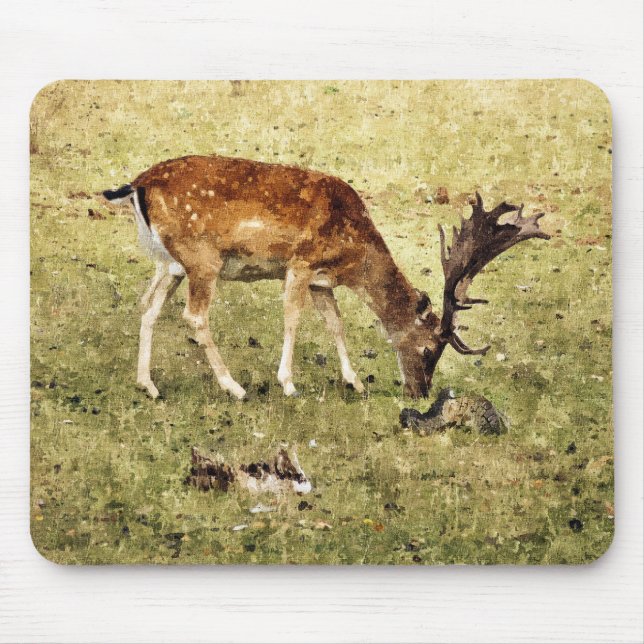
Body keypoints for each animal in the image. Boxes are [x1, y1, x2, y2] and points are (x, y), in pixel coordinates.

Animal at [103, 155, 549, 401]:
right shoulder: (301, 262)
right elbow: (293, 319)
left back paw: (149, 386)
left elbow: (335, 323)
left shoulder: (321, 280)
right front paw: (288, 384)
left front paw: (355, 382)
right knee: (194, 316)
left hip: (170, 264)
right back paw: (234, 387)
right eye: (428, 350)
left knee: (148, 306)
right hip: (202, 259)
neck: (352, 254)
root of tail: (136, 185)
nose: (419, 393)